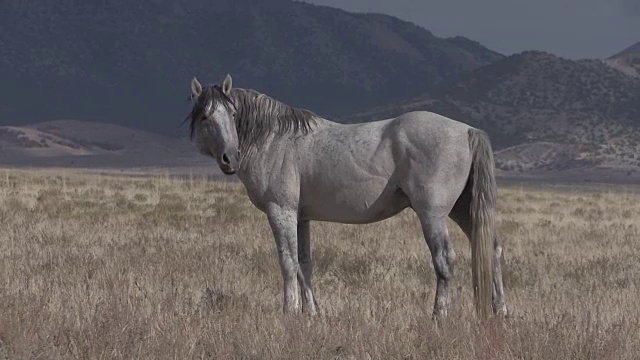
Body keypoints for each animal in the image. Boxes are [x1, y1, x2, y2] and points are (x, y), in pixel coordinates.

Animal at [188, 74, 508, 320]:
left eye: (232, 114)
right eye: (205, 116)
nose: (231, 158)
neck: (274, 139)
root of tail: (467, 131)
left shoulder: (281, 211)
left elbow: (288, 262)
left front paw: (289, 312)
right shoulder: (301, 217)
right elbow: (304, 264)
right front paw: (312, 313)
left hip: (433, 214)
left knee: (444, 260)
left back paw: (438, 316)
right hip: (464, 210)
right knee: (490, 249)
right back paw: (500, 312)